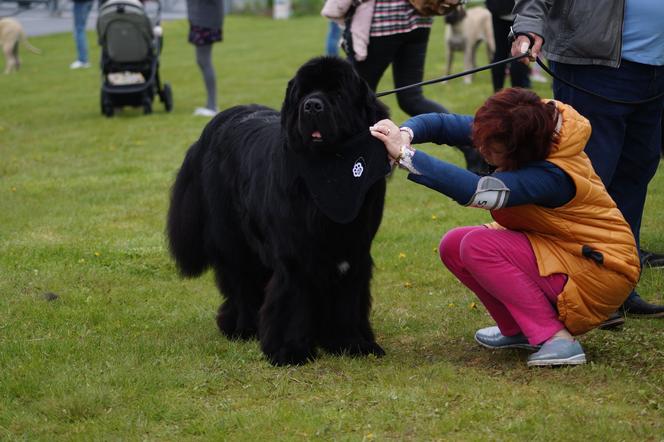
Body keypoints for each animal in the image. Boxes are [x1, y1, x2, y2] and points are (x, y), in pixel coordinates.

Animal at [166, 57, 392, 364]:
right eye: (303, 94)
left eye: (337, 93)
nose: (312, 105)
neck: (331, 168)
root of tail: (215, 123)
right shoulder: (294, 252)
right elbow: (292, 297)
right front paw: (290, 350)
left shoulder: (354, 250)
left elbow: (349, 299)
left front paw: (353, 343)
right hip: (232, 239)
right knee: (240, 283)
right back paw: (242, 327)